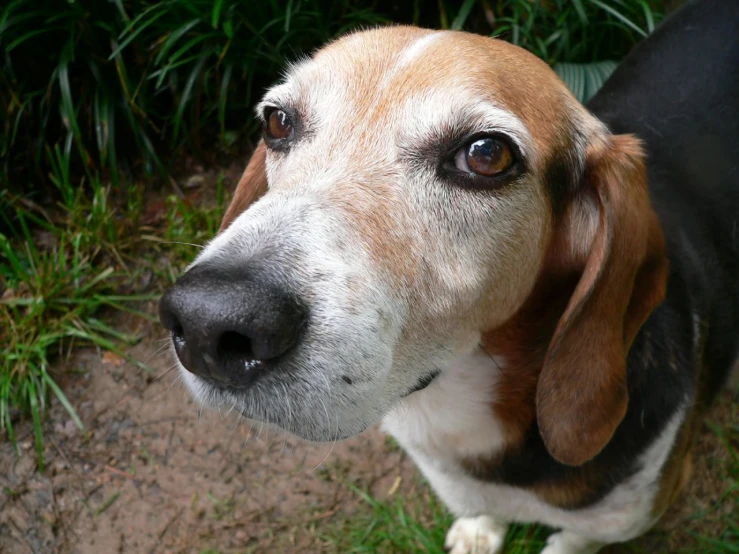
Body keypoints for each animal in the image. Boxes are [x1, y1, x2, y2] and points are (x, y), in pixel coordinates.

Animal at [162, 1, 739, 548]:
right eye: (277, 122)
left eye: (485, 154)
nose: (207, 321)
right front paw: (479, 530)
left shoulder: (628, 516)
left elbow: (572, 540)